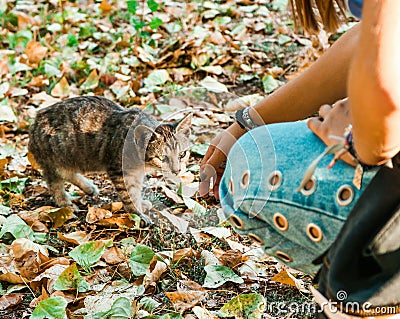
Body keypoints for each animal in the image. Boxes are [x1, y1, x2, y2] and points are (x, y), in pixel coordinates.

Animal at [28, 95, 192, 225]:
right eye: (162, 158)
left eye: (182, 154)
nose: (176, 170)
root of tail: (36, 120)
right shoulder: (119, 170)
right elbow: (129, 194)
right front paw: (137, 213)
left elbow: (136, 190)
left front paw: (140, 205)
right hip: (56, 157)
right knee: (53, 179)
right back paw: (64, 202)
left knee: (68, 174)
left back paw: (88, 187)